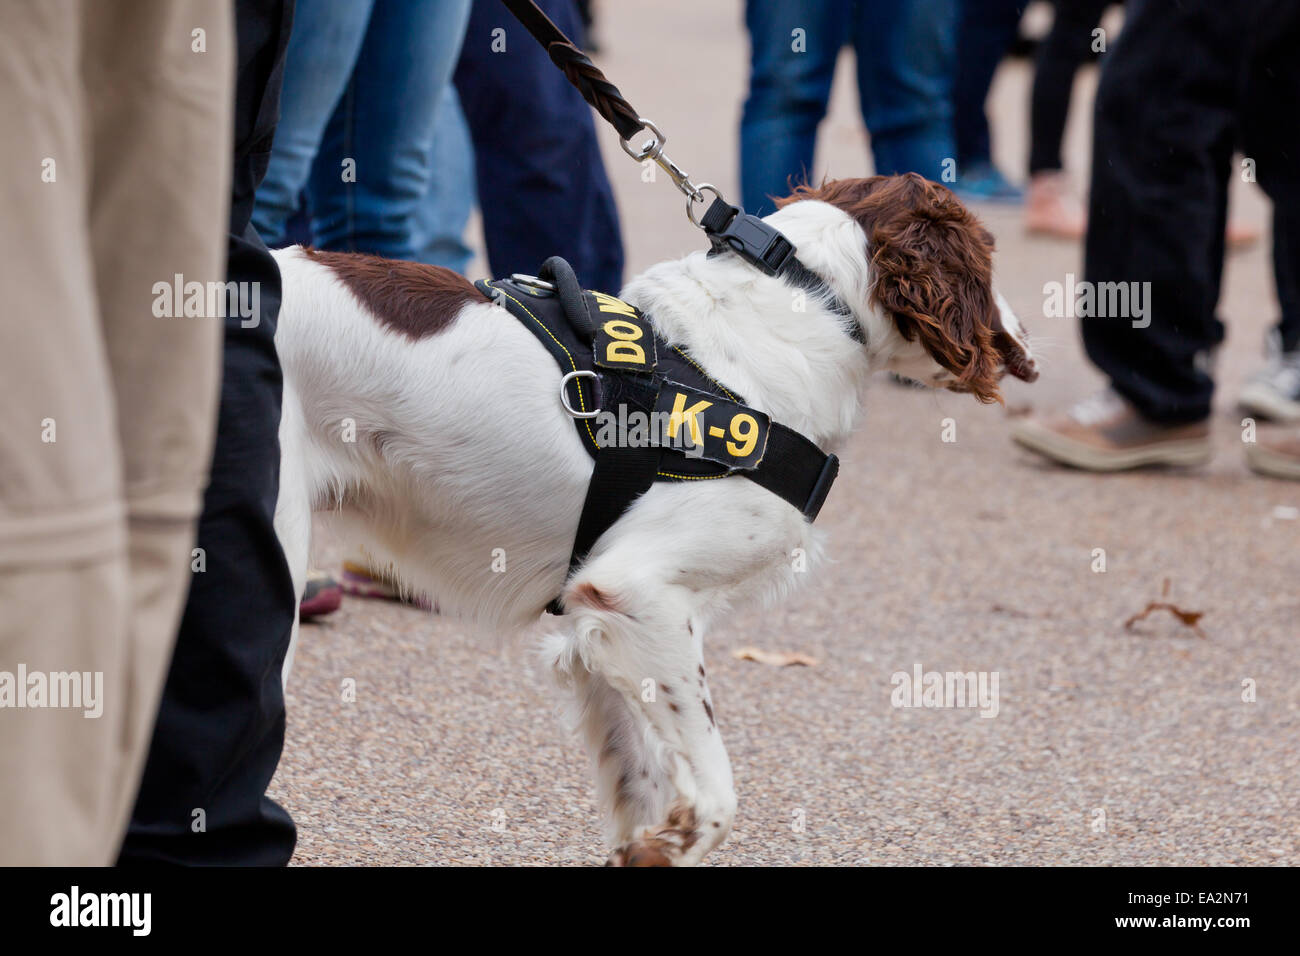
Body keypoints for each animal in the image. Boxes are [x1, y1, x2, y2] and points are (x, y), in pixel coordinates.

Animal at [271, 174, 1034, 868]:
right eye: (990, 254)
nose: (1024, 345)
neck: (804, 306)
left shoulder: (596, 626)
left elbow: (640, 778)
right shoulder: (636, 592)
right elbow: (717, 793)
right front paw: (678, 837)